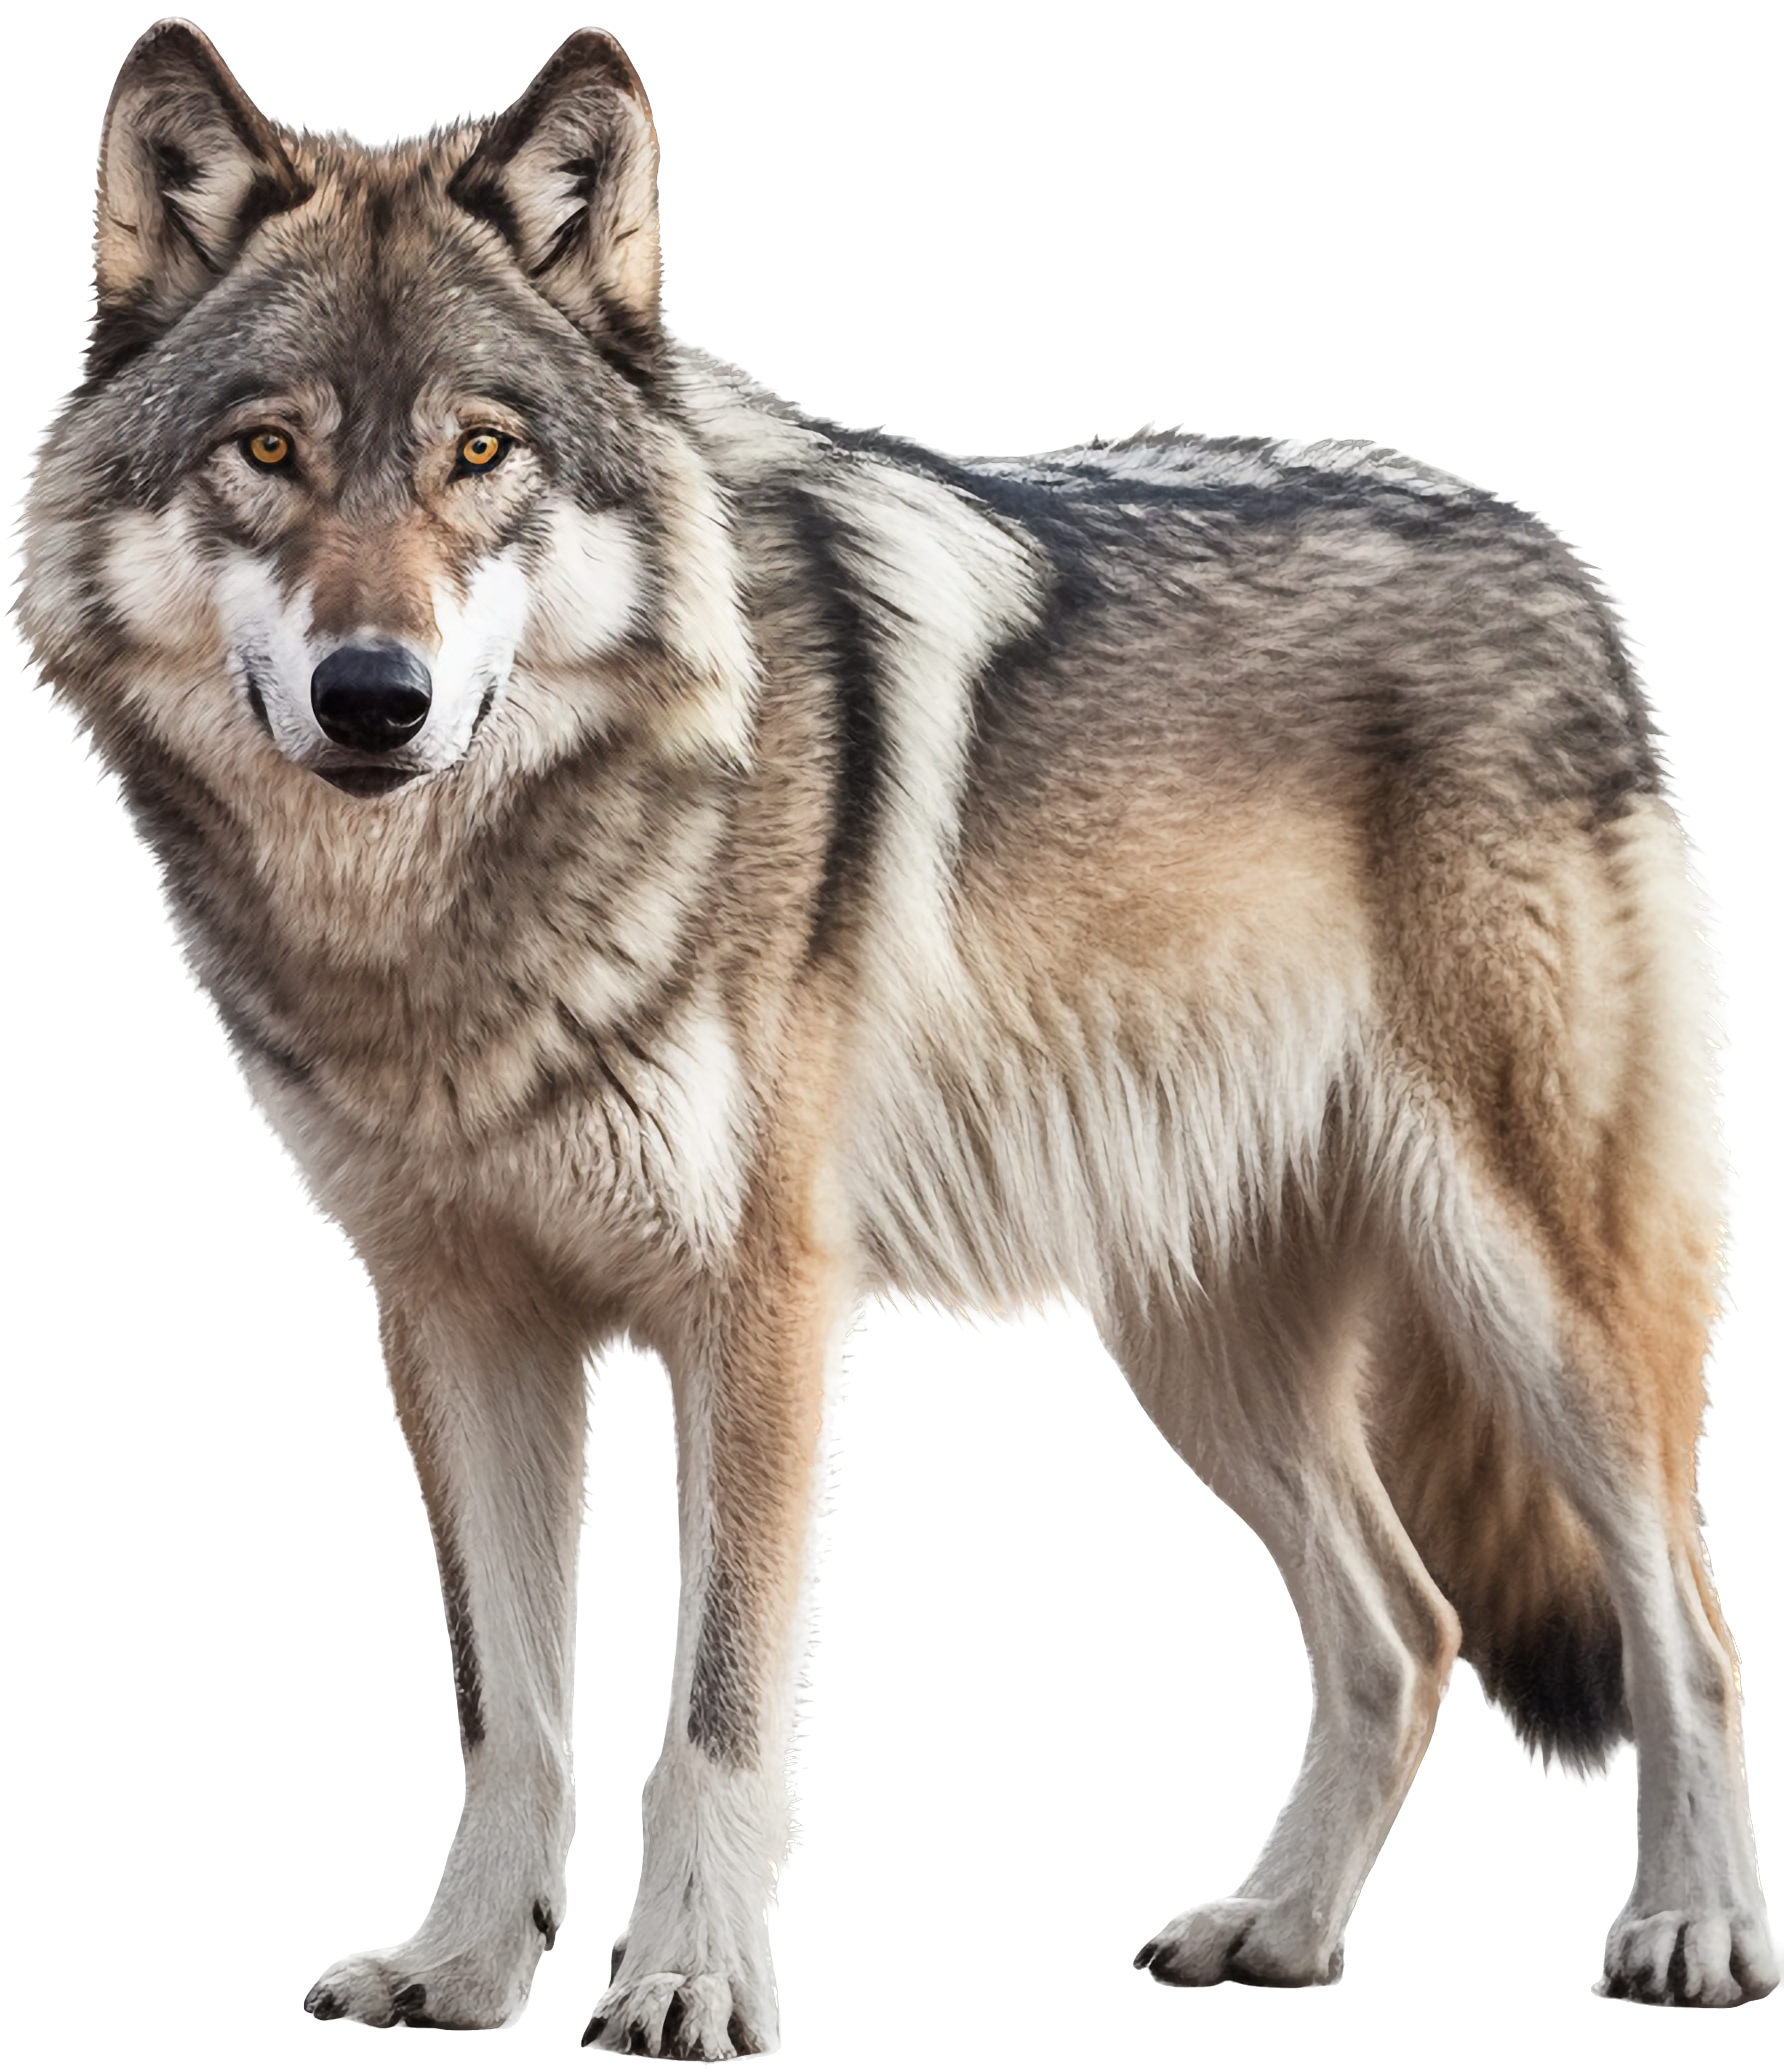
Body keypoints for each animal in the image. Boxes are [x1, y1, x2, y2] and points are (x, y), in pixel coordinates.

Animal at [17, 15, 1778, 2056]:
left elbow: (711, 1714)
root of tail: (1555, 560)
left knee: (1686, 1624)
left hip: (1538, 1292)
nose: (373, 697)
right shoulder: (456, 1320)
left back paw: (1693, 1935)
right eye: (268, 451)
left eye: (481, 452)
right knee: (1401, 1630)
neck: (448, 923)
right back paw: (1274, 1930)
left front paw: (688, 1984)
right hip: (1197, 1348)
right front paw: (461, 1973)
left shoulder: (762, 1311)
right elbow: (506, 1715)